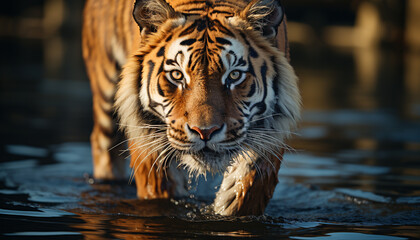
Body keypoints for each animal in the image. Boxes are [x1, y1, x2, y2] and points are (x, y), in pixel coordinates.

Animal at [82, 0, 300, 217]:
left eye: (234, 75)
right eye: (177, 75)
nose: (205, 132)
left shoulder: (270, 133)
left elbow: (247, 186)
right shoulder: (148, 137)